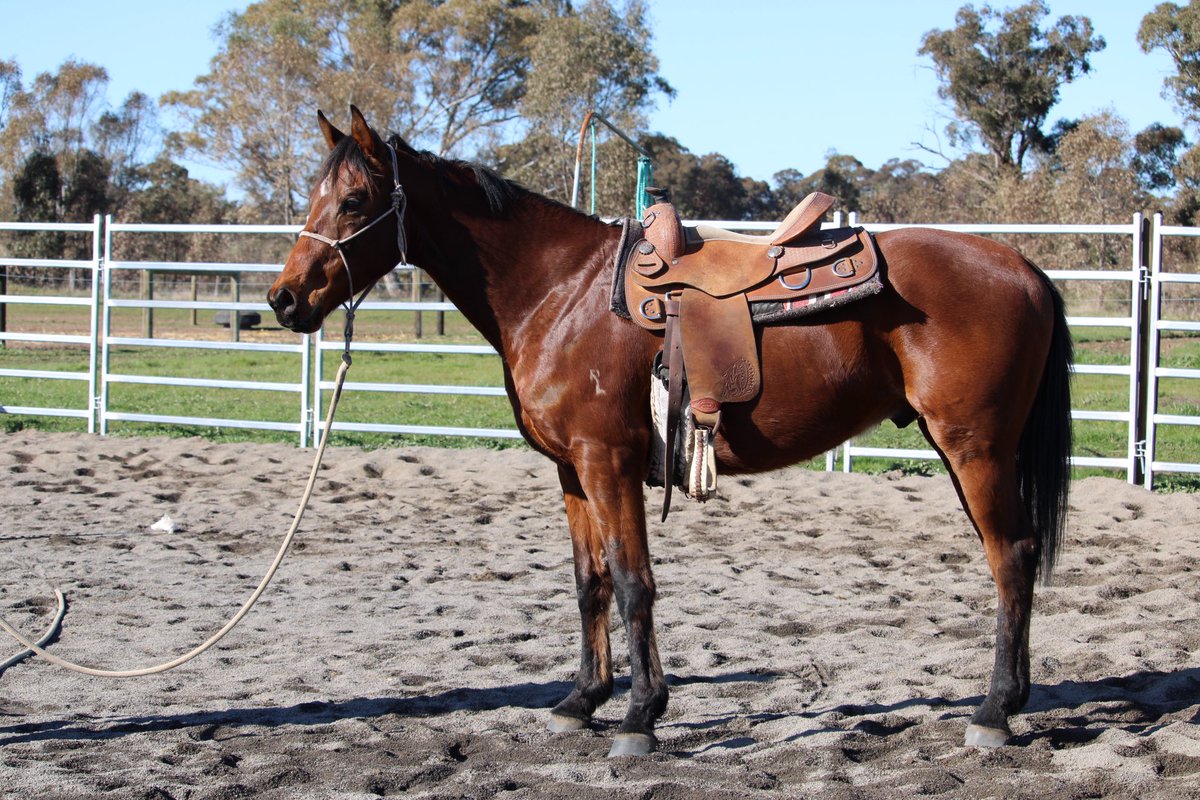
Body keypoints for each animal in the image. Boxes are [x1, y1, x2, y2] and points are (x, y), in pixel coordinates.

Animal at [268, 107, 1072, 757]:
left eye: (355, 199)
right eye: (316, 196)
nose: (284, 299)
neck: (562, 292)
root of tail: (1024, 267)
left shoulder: (609, 463)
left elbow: (633, 584)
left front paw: (639, 719)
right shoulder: (571, 472)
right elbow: (589, 582)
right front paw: (581, 700)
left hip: (975, 448)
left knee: (1011, 558)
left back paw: (994, 713)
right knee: (1017, 555)